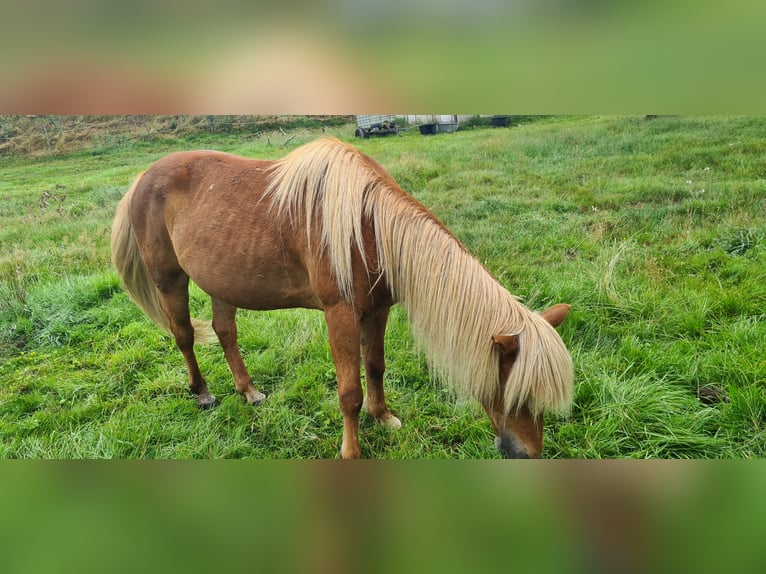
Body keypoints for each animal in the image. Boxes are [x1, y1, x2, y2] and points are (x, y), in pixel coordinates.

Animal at [111, 136, 574, 458]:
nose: (528, 454)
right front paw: (351, 451)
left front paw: (383, 417)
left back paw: (249, 392)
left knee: (225, 332)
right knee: (184, 335)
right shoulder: (341, 314)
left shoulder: (378, 311)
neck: (369, 230)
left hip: (221, 282)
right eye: (519, 396)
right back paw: (203, 393)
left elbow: (376, 367)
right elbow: (349, 392)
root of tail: (141, 179)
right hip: (171, 280)